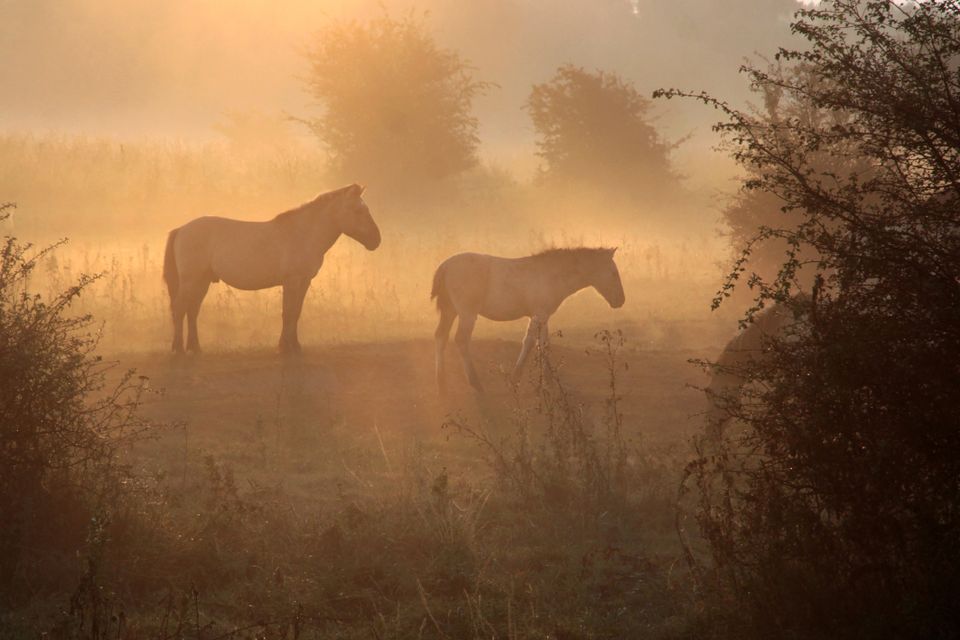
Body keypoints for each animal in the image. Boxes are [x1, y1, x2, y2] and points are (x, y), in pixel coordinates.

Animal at [162, 184, 380, 354]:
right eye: (358, 210)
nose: (376, 240)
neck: (303, 233)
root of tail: (181, 229)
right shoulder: (292, 281)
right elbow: (288, 312)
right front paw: (286, 347)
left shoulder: (304, 281)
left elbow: (296, 312)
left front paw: (294, 346)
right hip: (191, 281)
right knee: (180, 308)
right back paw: (178, 348)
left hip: (202, 281)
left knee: (192, 310)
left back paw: (195, 348)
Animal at [431, 247, 625, 392]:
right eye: (613, 273)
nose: (621, 300)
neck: (551, 274)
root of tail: (445, 266)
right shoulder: (538, 315)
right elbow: (530, 342)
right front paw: (515, 378)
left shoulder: (544, 316)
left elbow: (544, 345)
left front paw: (549, 380)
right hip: (467, 314)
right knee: (461, 340)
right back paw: (475, 383)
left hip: (450, 311)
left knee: (440, 337)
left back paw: (441, 382)